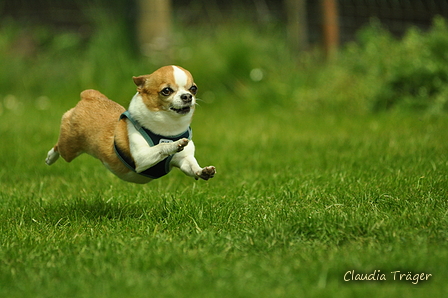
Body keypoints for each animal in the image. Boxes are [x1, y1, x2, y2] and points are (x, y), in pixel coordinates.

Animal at [45, 65, 215, 184]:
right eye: (166, 91)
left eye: (193, 89)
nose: (187, 96)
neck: (168, 127)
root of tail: (89, 95)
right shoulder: (141, 158)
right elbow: (161, 146)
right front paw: (175, 144)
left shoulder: (183, 160)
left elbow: (191, 166)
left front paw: (203, 171)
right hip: (69, 147)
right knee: (59, 147)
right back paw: (50, 157)